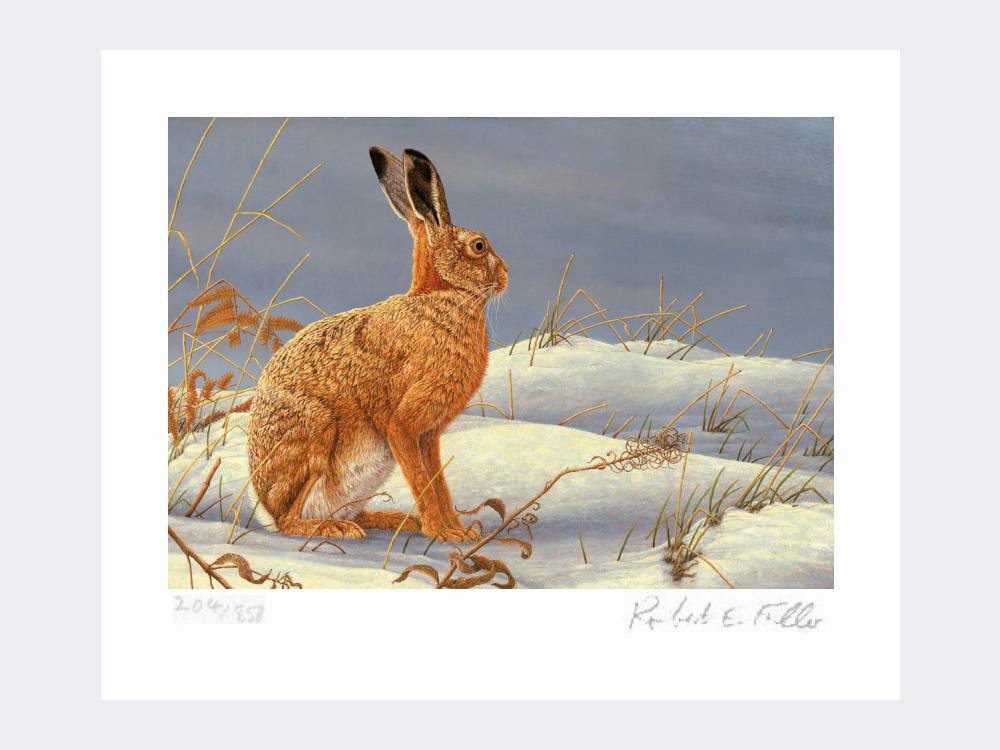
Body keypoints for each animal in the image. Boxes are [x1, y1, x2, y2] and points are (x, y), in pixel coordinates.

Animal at [247, 148, 507, 543]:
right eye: (478, 246)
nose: (506, 273)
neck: (441, 297)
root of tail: (262, 502)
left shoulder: (429, 434)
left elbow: (436, 481)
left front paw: (459, 530)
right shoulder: (404, 424)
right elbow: (422, 480)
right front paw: (443, 532)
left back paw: (393, 519)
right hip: (315, 432)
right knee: (289, 521)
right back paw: (336, 528)